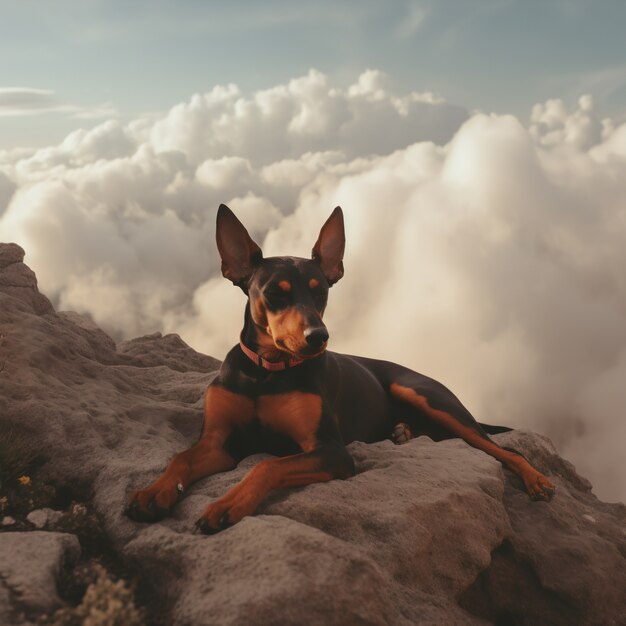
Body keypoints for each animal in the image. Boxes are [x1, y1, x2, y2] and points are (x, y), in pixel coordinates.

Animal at [124, 205, 552, 532]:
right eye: (274, 293)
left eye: (321, 291)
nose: (319, 336)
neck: (267, 373)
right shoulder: (221, 443)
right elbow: (180, 459)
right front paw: (152, 494)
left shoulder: (331, 450)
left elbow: (268, 466)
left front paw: (226, 505)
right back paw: (402, 432)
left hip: (423, 393)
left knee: (499, 447)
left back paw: (536, 479)